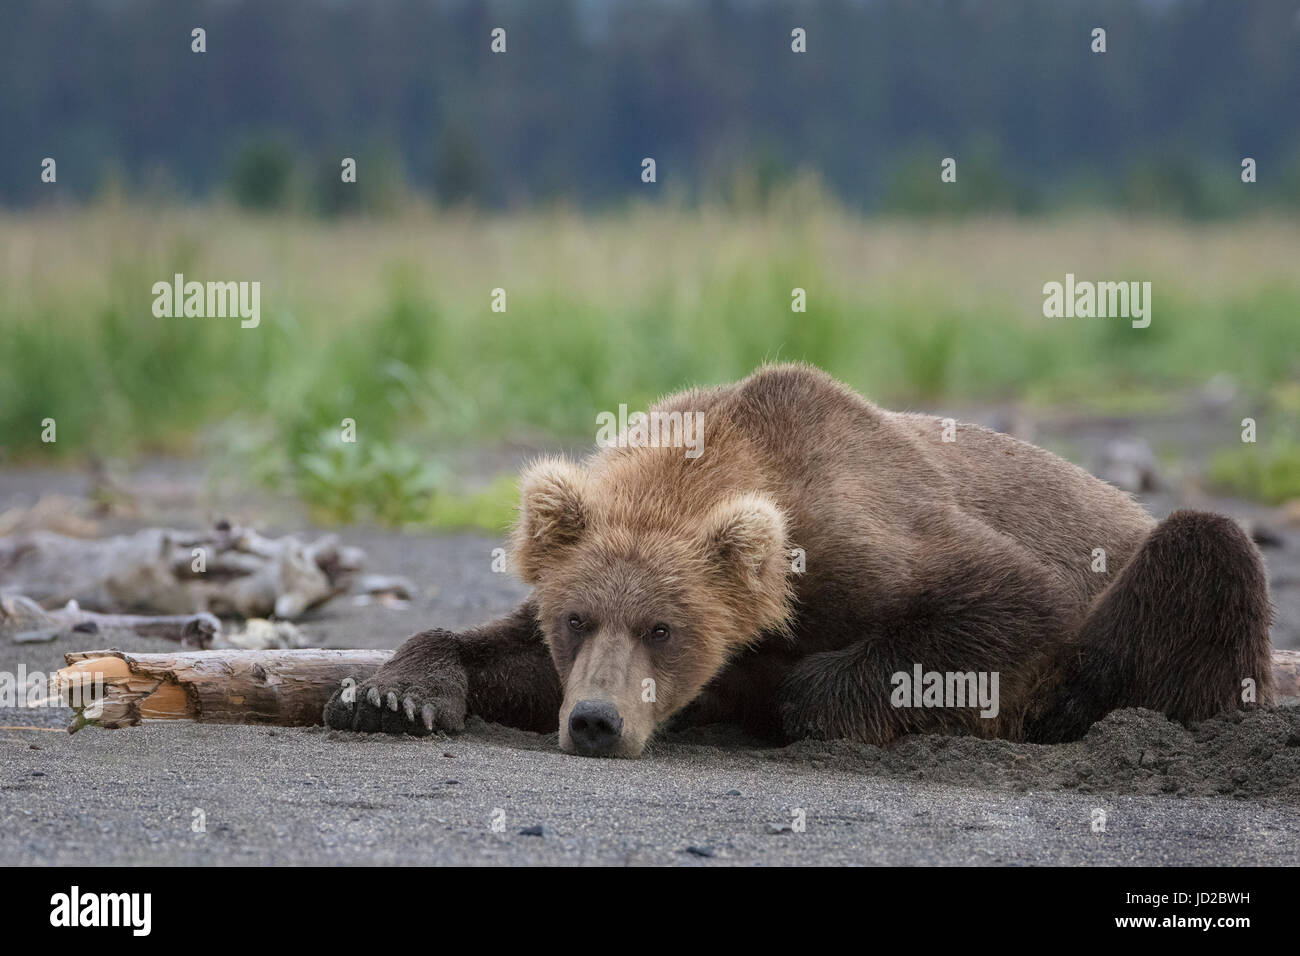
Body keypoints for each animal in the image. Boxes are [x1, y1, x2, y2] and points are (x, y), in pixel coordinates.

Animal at [322, 361, 1268, 759]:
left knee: (1208, 547)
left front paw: (784, 695)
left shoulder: (869, 531)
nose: (594, 721)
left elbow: (1010, 600)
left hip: (1153, 565)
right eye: (576, 619)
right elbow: (502, 652)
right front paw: (389, 694)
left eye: (664, 627)